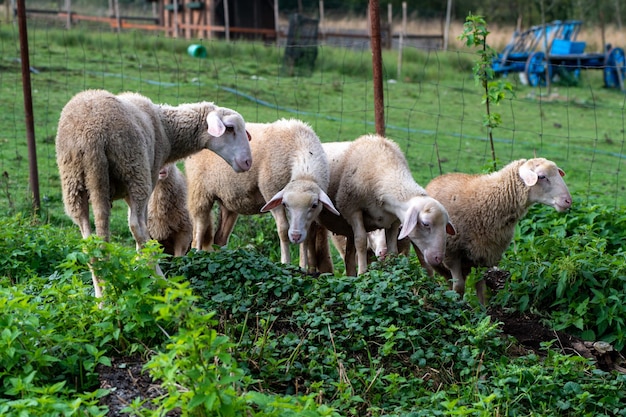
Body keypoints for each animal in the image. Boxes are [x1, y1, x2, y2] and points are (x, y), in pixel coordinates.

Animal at [54, 88, 251, 296]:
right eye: (230, 128)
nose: (247, 162)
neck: (167, 130)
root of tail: (91, 136)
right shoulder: (150, 176)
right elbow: (143, 227)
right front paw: (143, 268)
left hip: (74, 182)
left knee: (88, 240)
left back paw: (102, 295)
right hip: (135, 170)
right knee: (136, 227)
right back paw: (160, 281)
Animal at [183, 117, 338, 268]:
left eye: (314, 205)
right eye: (285, 204)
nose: (295, 236)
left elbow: (307, 237)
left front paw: (302, 267)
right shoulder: (270, 191)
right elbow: (283, 230)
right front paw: (285, 263)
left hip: (228, 200)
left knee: (219, 237)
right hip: (199, 191)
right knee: (198, 230)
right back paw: (195, 256)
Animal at [312, 134, 454, 276]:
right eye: (426, 224)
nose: (438, 258)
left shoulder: (394, 220)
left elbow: (393, 249)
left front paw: (391, 269)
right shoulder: (352, 209)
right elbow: (361, 241)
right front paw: (363, 273)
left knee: (348, 255)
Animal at [420, 156, 572, 302]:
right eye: (541, 176)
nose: (568, 201)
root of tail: (440, 177)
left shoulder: (485, 255)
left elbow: (482, 290)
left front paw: (483, 310)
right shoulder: (452, 254)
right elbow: (458, 287)